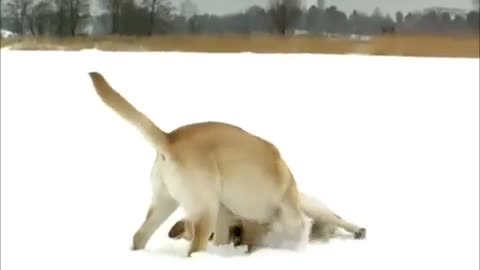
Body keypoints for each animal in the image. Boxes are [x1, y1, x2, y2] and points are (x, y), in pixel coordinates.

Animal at [89, 72, 316, 258]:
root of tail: (169, 139)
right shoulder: (288, 213)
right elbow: (300, 231)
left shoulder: (224, 215)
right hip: (205, 209)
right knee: (195, 249)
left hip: (165, 202)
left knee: (139, 236)